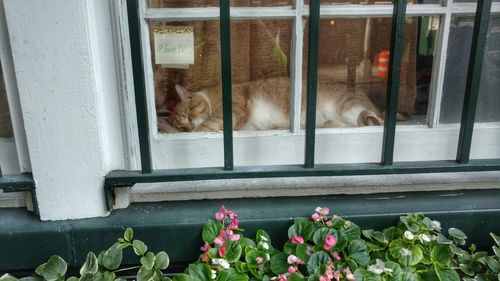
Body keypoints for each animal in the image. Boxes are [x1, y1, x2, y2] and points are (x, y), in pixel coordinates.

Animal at [164, 76, 382, 132]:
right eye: (181, 126)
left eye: (188, 114)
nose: (188, 126)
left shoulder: (231, 110)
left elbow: (206, 127)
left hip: (350, 107)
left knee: (378, 121)